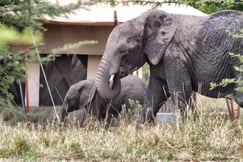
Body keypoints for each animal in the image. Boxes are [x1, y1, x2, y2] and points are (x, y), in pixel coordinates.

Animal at [95, 9, 243, 122]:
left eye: (123, 51)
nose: (118, 73)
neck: (141, 21)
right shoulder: (160, 57)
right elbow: (155, 92)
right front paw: (140, 130)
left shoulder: (174, 55)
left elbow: (180, 89)